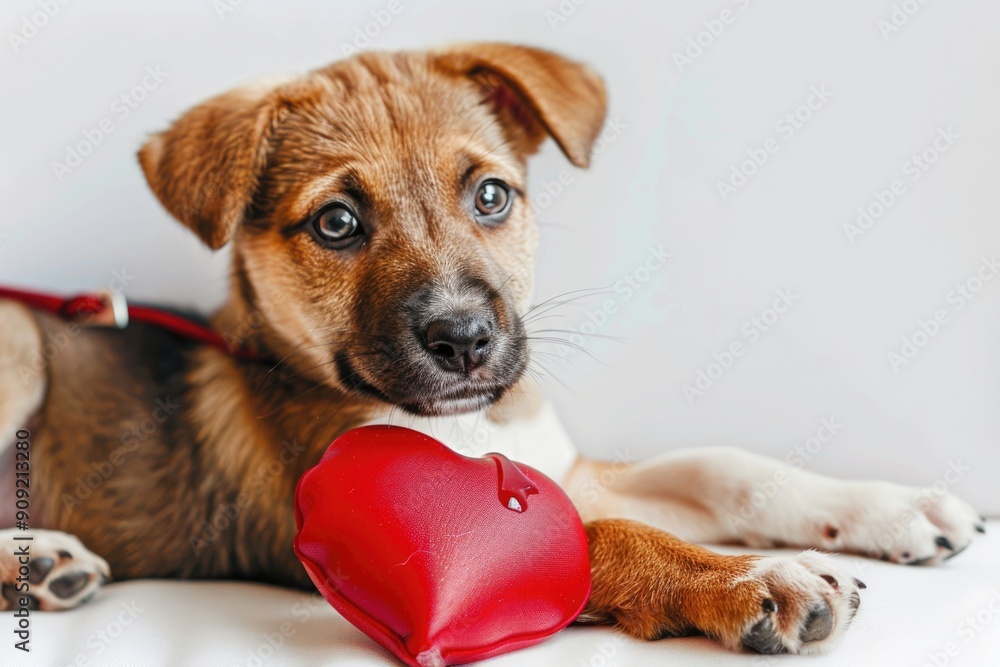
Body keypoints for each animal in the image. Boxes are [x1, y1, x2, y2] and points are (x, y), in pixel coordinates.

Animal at [0, 44, 984, 656]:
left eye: (490, 196)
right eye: (336, 223)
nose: (465, 339)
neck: (470, 428)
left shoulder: (565, 469)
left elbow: (725, 468)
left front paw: (893, 508)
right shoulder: (413, 553)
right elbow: (606, 536)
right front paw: (753, 579)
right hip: (19, 350)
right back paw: (32, 559)